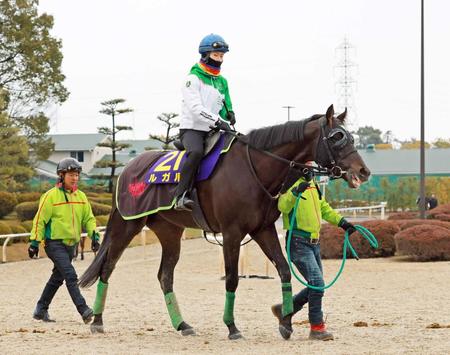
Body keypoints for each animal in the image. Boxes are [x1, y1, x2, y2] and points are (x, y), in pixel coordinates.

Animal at [79, 104, 370, 340]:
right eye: (337, 137)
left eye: (351, 136)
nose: (364, 171)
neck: (254, 169)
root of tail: (127, 169)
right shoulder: (232, 233)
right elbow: (232, 279)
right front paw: (232, 327)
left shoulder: (263, 230)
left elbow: (284, 270)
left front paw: (286, 322)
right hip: (127, 226)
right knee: (107, 269)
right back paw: (97, 321)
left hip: (170, 233)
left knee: (165, 276)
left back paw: (183, 325)